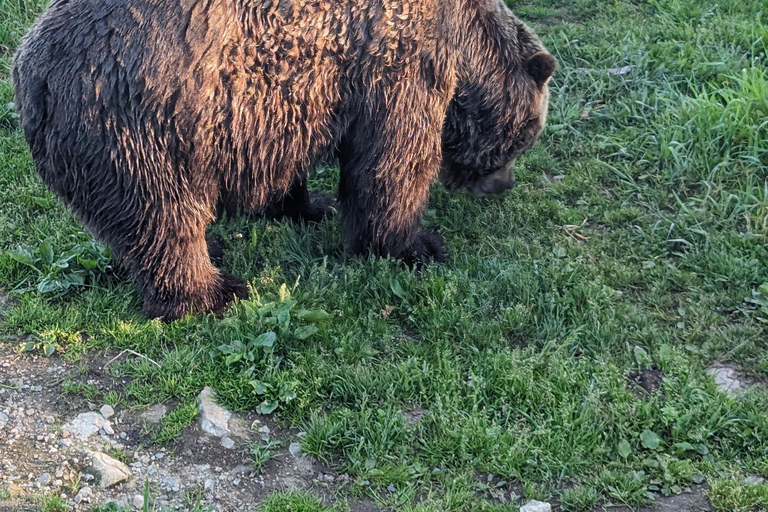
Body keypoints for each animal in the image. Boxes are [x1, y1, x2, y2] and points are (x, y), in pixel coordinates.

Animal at [12, 0, 552, 320]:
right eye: (528, 133)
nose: (503, 184)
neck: (463, 41)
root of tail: (31, 69)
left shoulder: (284, 101)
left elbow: (286, 163)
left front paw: (311, 205)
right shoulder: (398, 67)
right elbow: (392, 166)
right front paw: (417, 245)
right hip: (141, 123)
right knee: (162, 217)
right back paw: (214, 291)